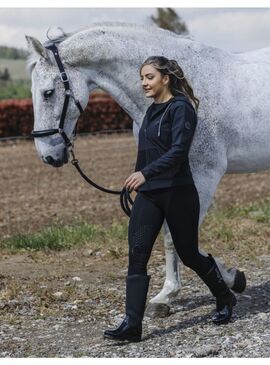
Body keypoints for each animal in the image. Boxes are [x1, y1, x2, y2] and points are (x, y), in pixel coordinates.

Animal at [24, 20, 262, 316]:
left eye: (48, 92)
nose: (48, 155)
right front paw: (231, 277)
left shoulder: (203, 176)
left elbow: (179, 238)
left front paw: (168, 295)